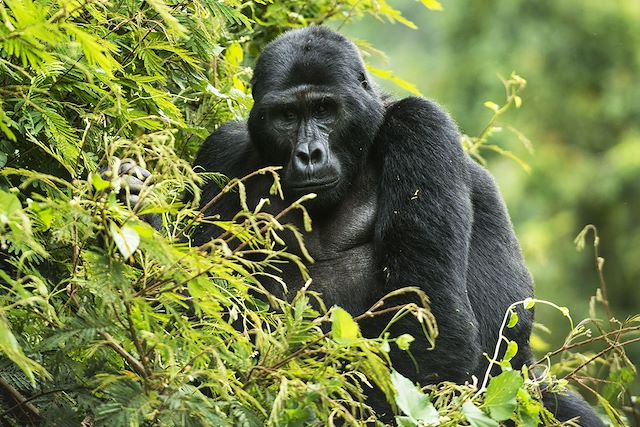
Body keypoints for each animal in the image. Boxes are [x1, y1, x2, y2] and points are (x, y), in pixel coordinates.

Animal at [122, 25, 604, 424]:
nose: (309, 154)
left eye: (325, 109)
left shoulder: (421, 126)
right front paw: (136, 208)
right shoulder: (221, 151)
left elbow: (430, 335)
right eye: (286, 117)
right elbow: (189, 310)